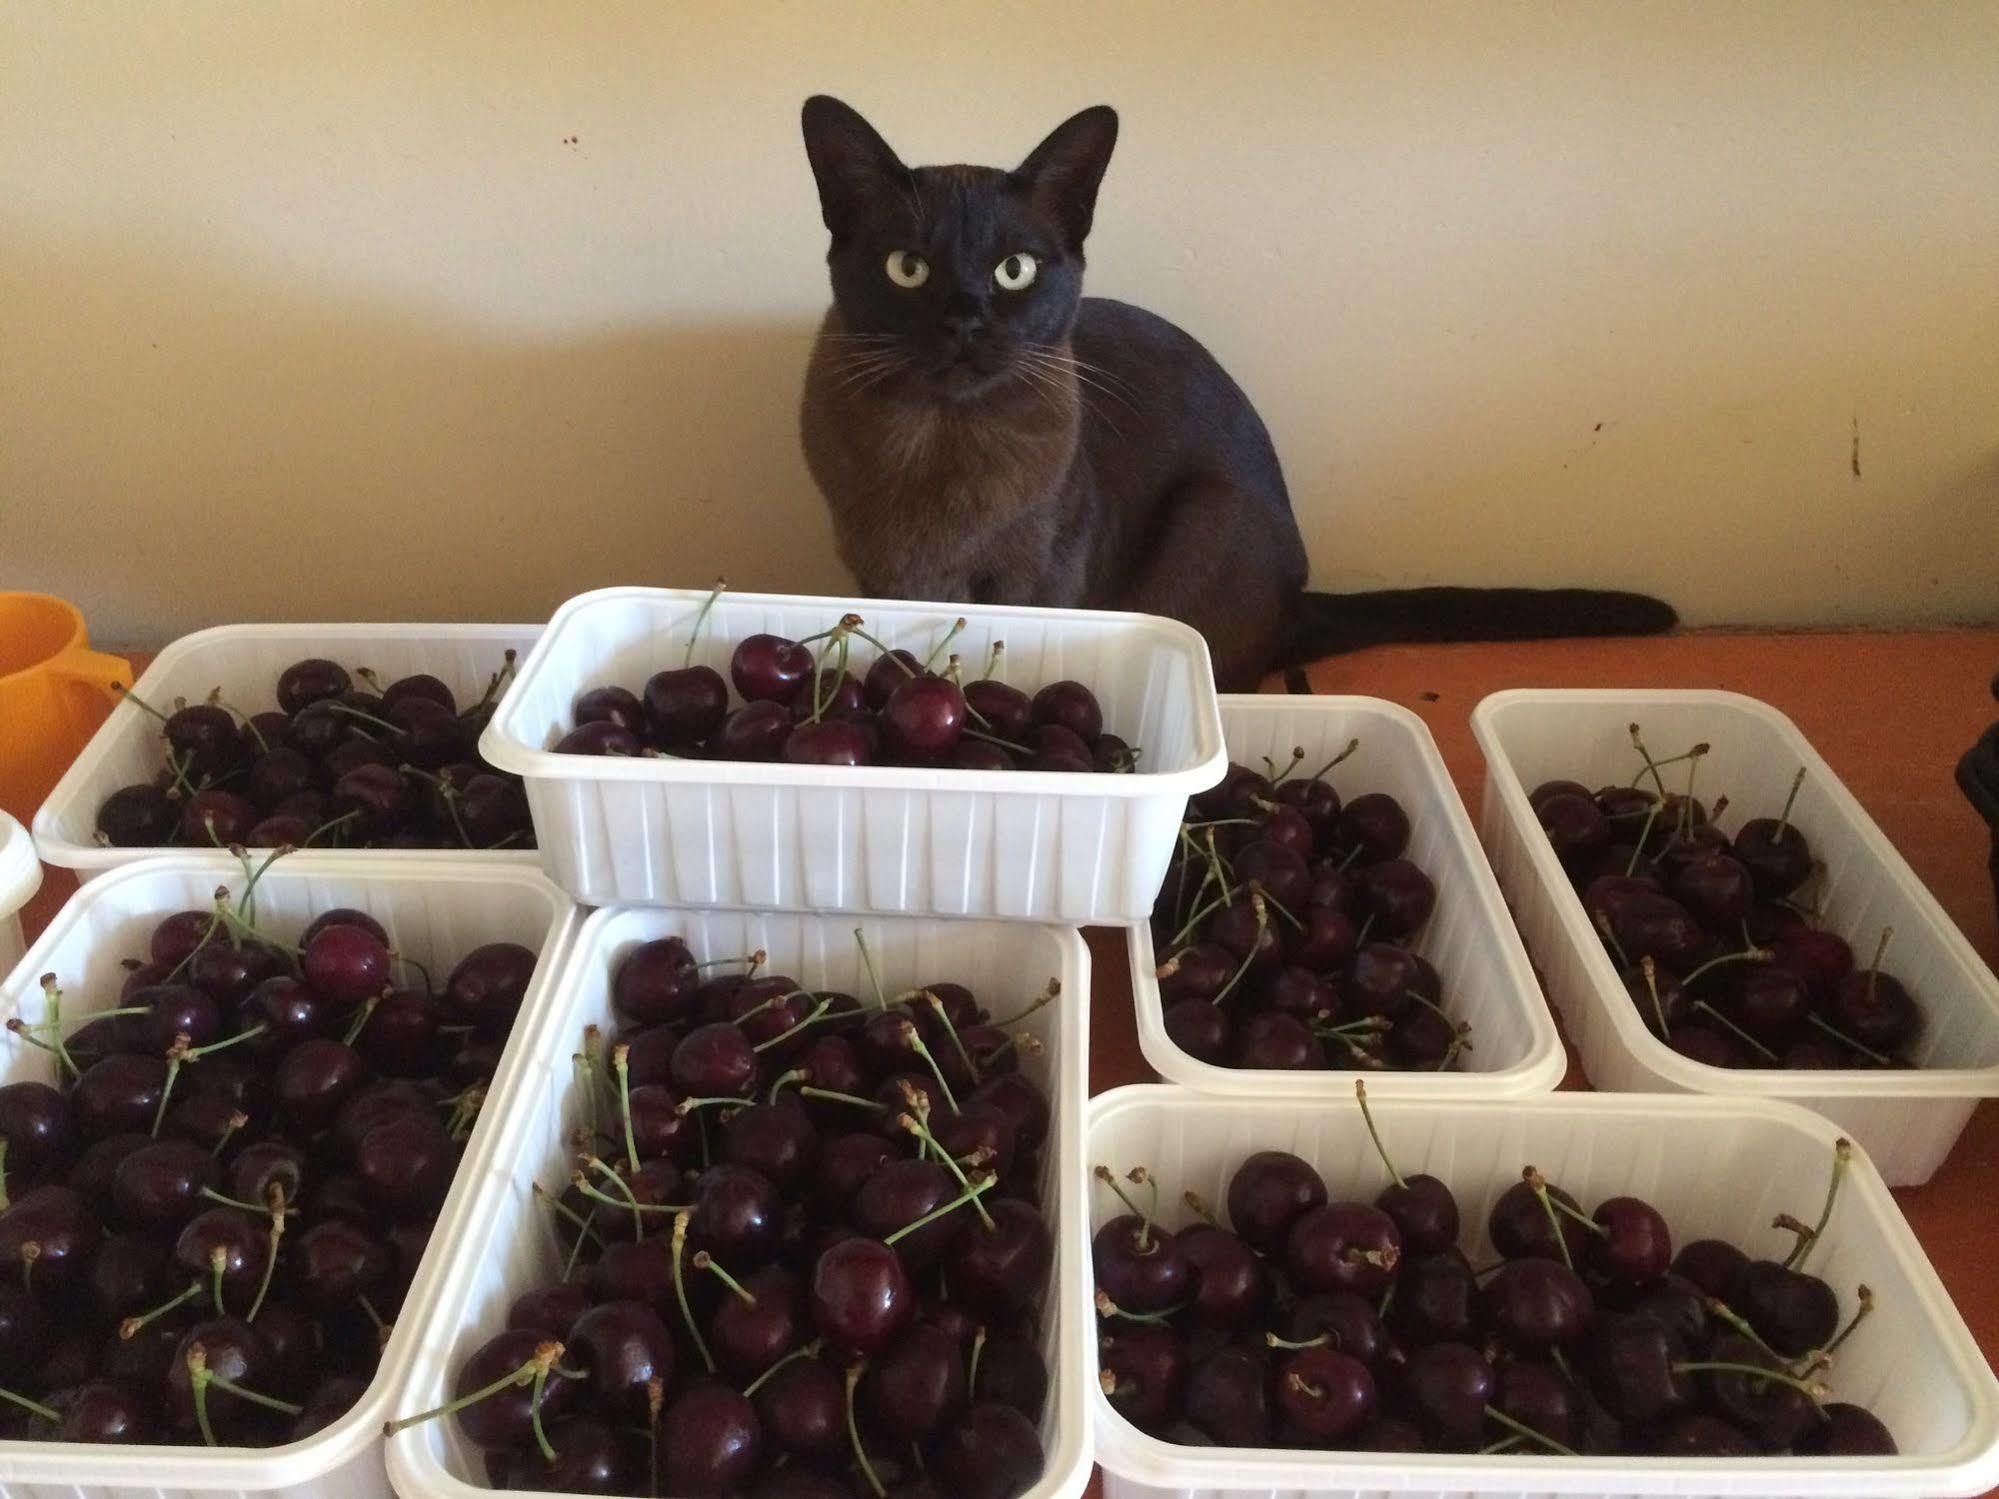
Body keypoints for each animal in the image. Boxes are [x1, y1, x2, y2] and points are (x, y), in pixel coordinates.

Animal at [795, 96, 1671, 695]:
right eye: (907, 267)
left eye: (1015, 269)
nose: (965, 320)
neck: (938, 444)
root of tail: (1299, 599)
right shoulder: (874, 571)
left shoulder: (1035, 581)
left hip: (1210, 518)